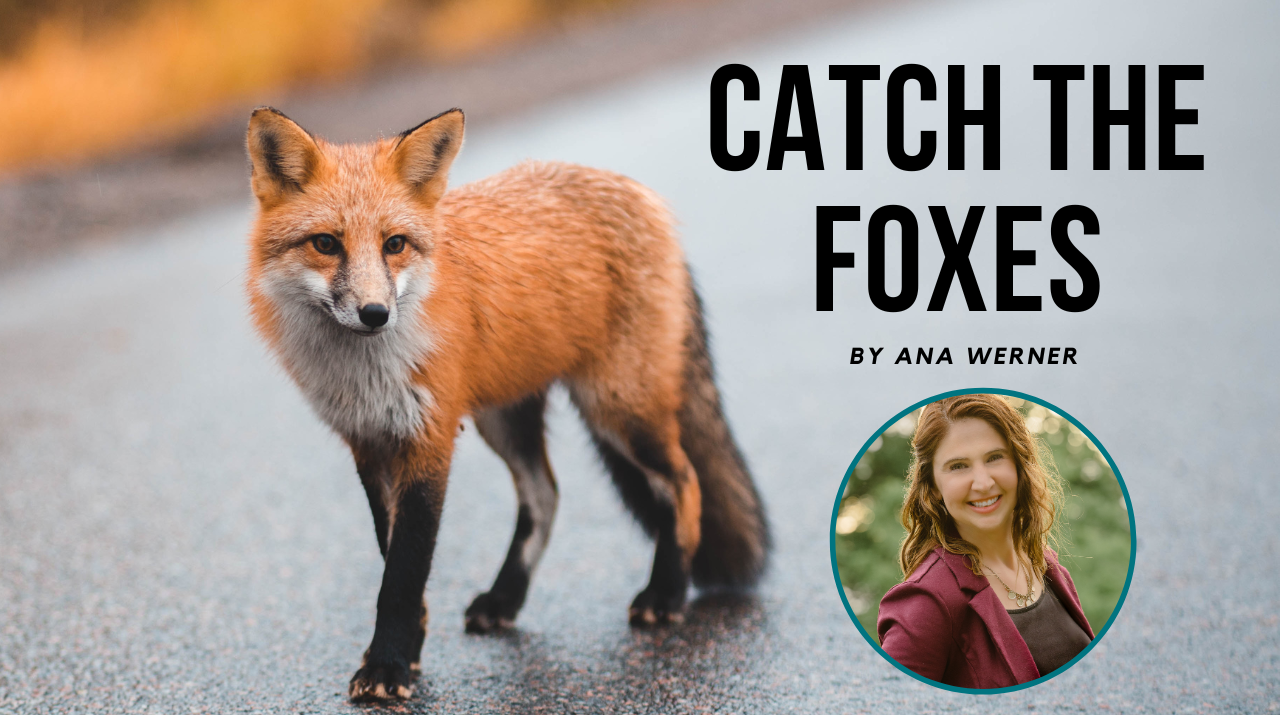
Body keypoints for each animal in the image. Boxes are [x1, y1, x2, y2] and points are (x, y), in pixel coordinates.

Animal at [244, 106, 769, 702]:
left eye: (394, 244)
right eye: (326, 244)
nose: (376, 314)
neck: (366, 373)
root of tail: (640, 194)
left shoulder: (430, 438)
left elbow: (403, 570)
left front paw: (388, 665)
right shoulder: (370, 443)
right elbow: (391, 556)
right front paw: (409, 650)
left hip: (617, 409)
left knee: (683, 482)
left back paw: (666, 594)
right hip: (505, 419)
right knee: (546, 494)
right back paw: (506, 599)